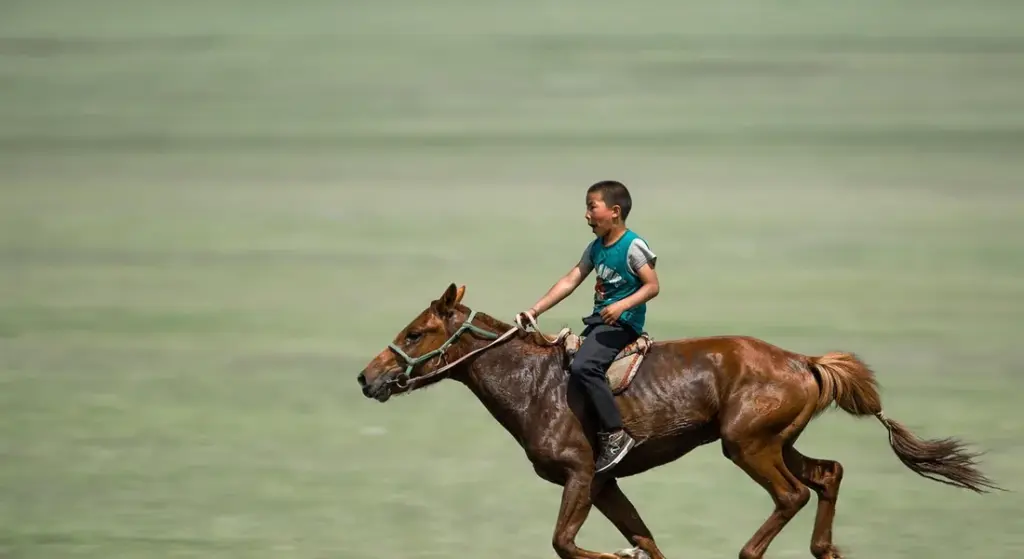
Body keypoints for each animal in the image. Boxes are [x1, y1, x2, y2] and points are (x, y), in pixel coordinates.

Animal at [356, 283, 1001, 559]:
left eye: (415, 332)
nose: (367, 378)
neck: (534, 385)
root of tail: (805, 362)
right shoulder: (605, 484)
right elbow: (645, 537)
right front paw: (635, 552)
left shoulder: (581, 475)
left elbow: (567, 542)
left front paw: (622, 557)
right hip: (775, 442)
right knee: (829, 473)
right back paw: (827, 552)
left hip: (747, 446)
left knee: (792, 494)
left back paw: (754, 553)